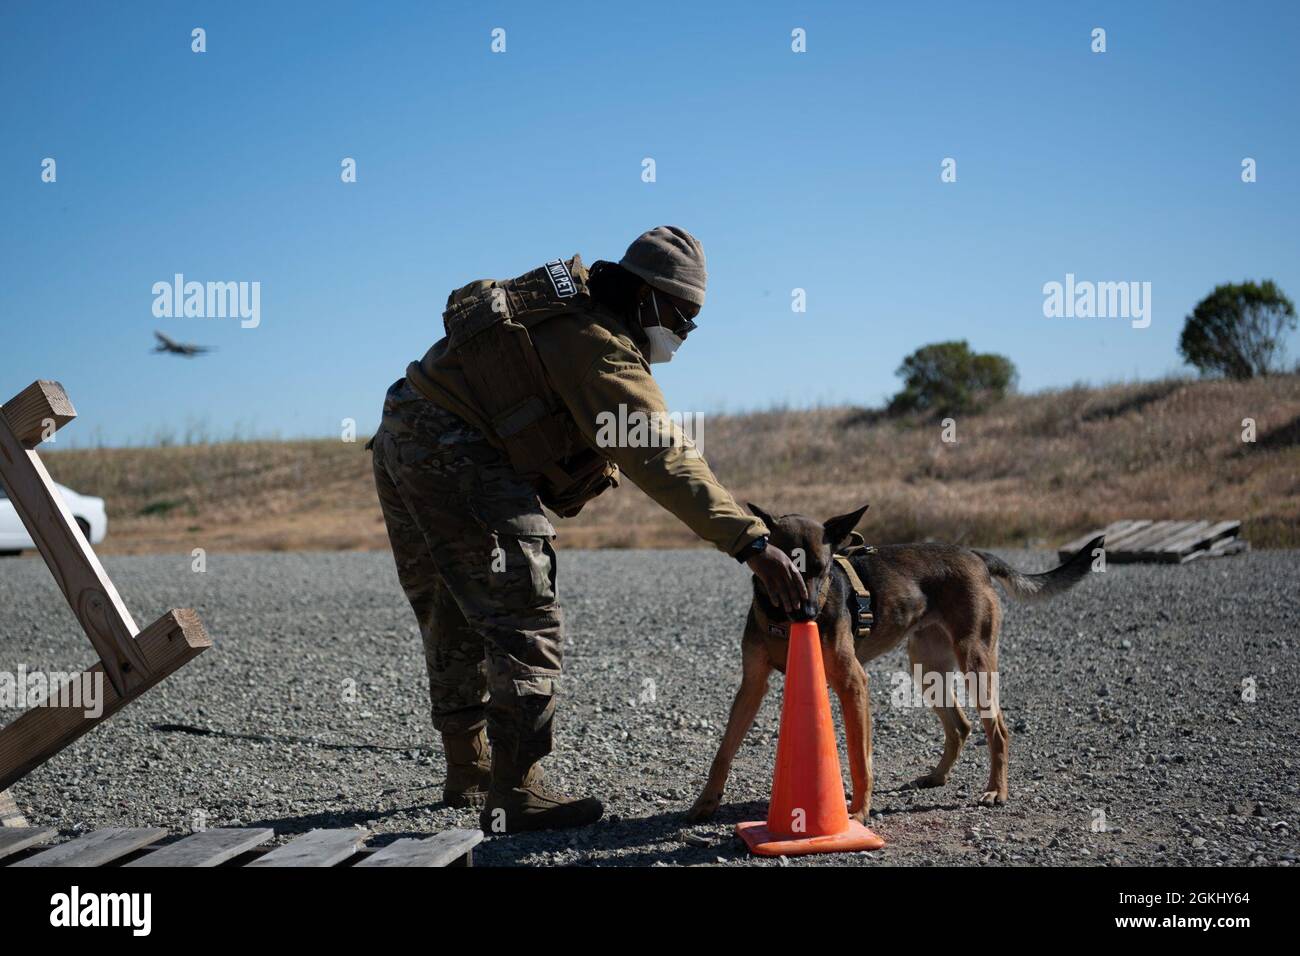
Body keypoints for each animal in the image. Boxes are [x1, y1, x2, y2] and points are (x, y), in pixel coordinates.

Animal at [686, 504, 1102, 827]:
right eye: (791, 569)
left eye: (823, 569)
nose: (809, 613)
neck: (781, 620)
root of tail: (975, 555)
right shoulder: (752, 685)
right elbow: (724, 750)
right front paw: (706, 802)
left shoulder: (853, 682)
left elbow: (860, 757)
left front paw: (859, 811)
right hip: (926, 667)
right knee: (961, 725)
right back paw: (937, 776)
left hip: (976, 663)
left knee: (997, 728)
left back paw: (995, 791)